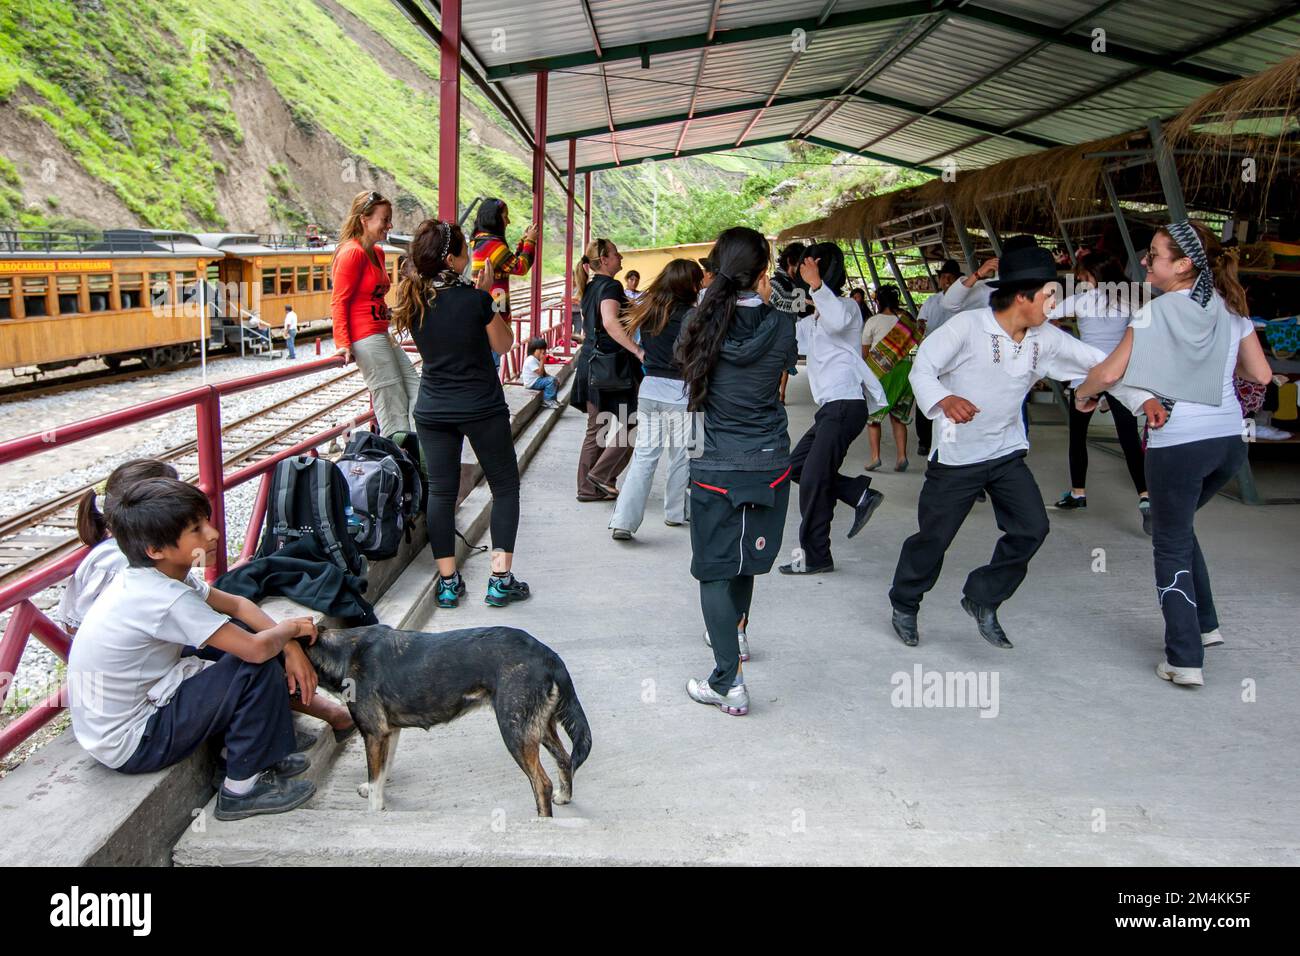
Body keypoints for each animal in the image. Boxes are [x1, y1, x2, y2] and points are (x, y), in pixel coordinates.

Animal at [301, 624, 592, 816]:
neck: (341, 652)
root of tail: (548, 655)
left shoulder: (374, 733)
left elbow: (375, 782)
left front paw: (373, 813)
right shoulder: (389, 732)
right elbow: (382, 773)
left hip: (515, 731)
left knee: (542, 784)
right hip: (539, 727)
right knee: (565, 760)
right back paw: (564, 797)